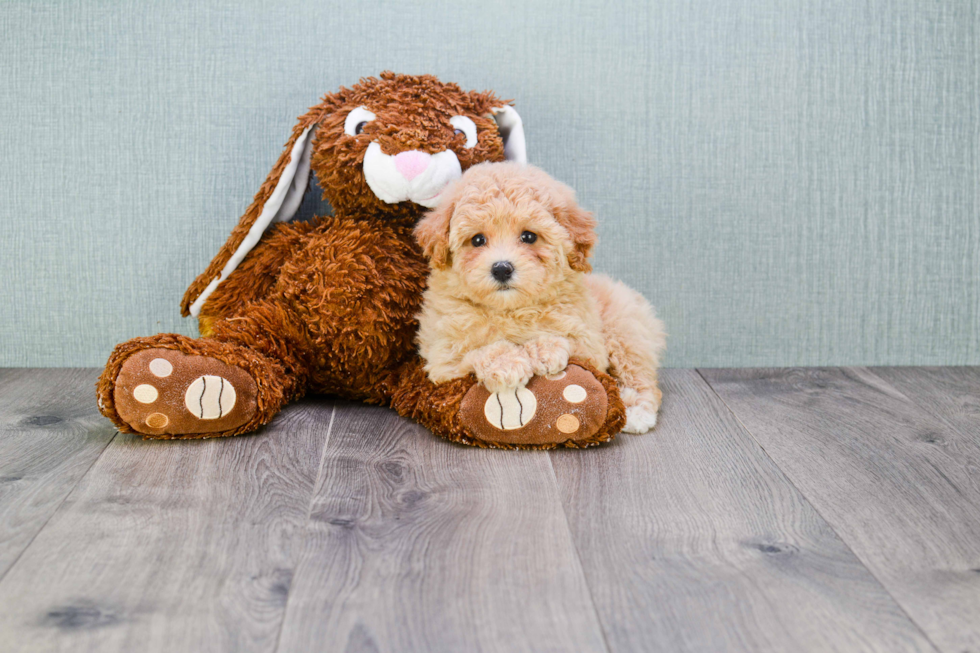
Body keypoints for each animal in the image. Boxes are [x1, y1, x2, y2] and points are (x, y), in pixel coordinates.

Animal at [414, 162, 668, 432]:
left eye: (529, 236)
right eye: (477, 240)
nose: (501, 268)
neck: (510, 309)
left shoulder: (590, 345)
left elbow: (569, 341)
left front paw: (544, 350)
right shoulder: (442, 358)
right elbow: (479, 351)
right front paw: (507, 364)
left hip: (625, 333)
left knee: (641, 378)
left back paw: (637, 411)